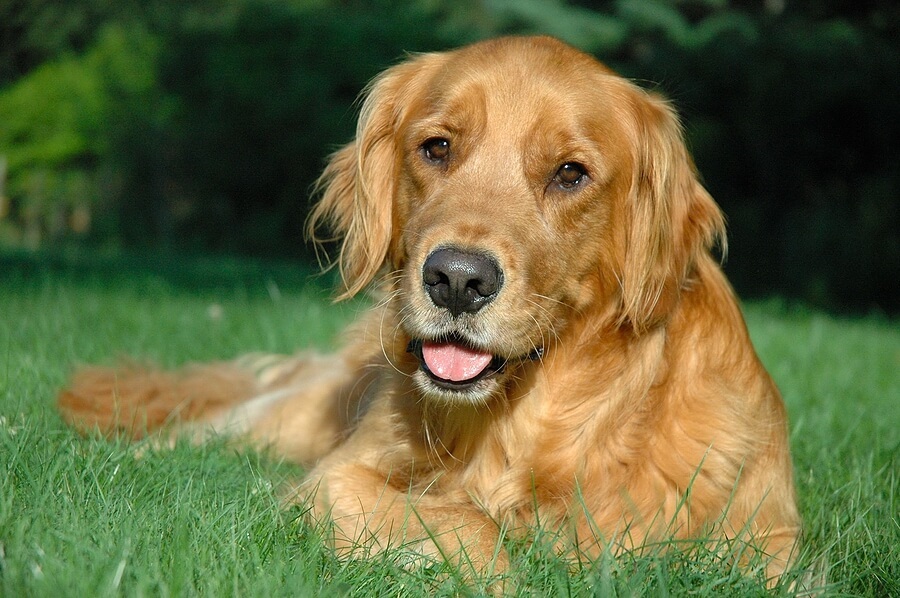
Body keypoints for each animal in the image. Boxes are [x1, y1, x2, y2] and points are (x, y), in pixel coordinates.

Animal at [58, 36, 800, 584]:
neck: (521, 425)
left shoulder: (768, 545)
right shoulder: (336, 477)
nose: (457, 280)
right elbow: (465, 524)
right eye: (437, 146)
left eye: (571, 173)